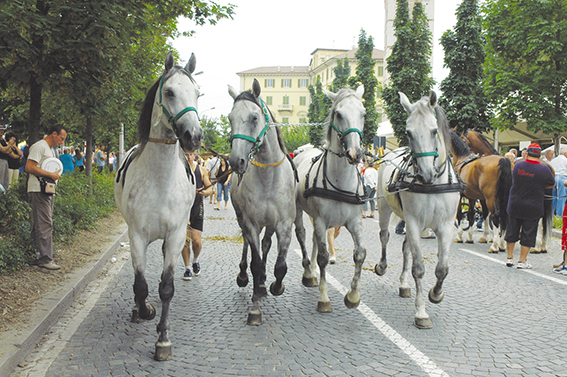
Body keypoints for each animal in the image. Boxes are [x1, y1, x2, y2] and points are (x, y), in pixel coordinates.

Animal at [114, 51, 203, 360]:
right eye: (169, 91)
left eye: (197, 93)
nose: (193, 136)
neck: (160, 181)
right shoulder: (137, 236)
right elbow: (141, 285)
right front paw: (145, 311)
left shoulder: (176, 235)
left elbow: (166, 287)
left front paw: (163, 339)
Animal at [227, 80, 298, 326]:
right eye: (230, 118)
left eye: (254, 117)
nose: (235, 161)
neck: (268, 178)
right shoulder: (251, 223)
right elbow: (256, 262)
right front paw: (255, 306)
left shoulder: (284, 225)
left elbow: (281, 266)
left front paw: (276, 286)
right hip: (242, 219)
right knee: (248, 245)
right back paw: (244, 276)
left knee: (266, 244)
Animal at [292, 84, 368, 312]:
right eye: (339, 114)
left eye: (363, 113)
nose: (355, 154)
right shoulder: (321, 220)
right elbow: (324, 257)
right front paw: (324, 297)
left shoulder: (354, 221)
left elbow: (360, 254)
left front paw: (353, 295)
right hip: (299, 211)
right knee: (302, 235)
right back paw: (308, 273)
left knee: (315, 240)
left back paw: (312, 272)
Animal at [374, 92, 464, 328]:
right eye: (408, 132)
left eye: (433, 130)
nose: (425, 174)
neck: (434, 185)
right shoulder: (414, 223)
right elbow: (419, 269)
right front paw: (421, 312)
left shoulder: (445, 226)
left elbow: (442, 269)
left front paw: (436, 294)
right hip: (385, 209)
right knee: (384, 237)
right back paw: (382, 266)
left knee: (406, 248)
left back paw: (404, 285)